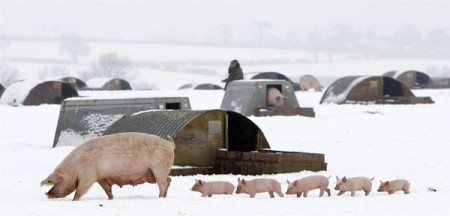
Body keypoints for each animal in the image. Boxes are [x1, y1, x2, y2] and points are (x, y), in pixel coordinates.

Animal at [40, 132, 174, 202]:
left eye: (57, 181)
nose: (47, 194)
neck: (75, 167)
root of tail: (170, 144)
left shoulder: (89, 176)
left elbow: (80, 190)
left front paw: (74, 201)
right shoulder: (100, 177)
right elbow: (107, 189)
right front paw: (111, 199)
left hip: (159, 168)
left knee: (163, 184)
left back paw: (160, 198)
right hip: (159, 171)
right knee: (169, 180)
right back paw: (164, 197)